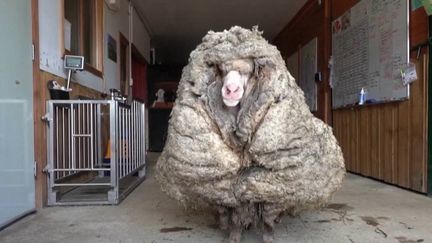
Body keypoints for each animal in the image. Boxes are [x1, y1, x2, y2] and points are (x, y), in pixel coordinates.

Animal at [155, 26, 344, 243]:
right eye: (221, 70)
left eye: (248, 71)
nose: (231, 90)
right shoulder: (225, 184)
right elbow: (235, 210)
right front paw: (234, 236)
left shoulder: (272, 182)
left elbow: (267, 211)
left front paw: (268, 236)